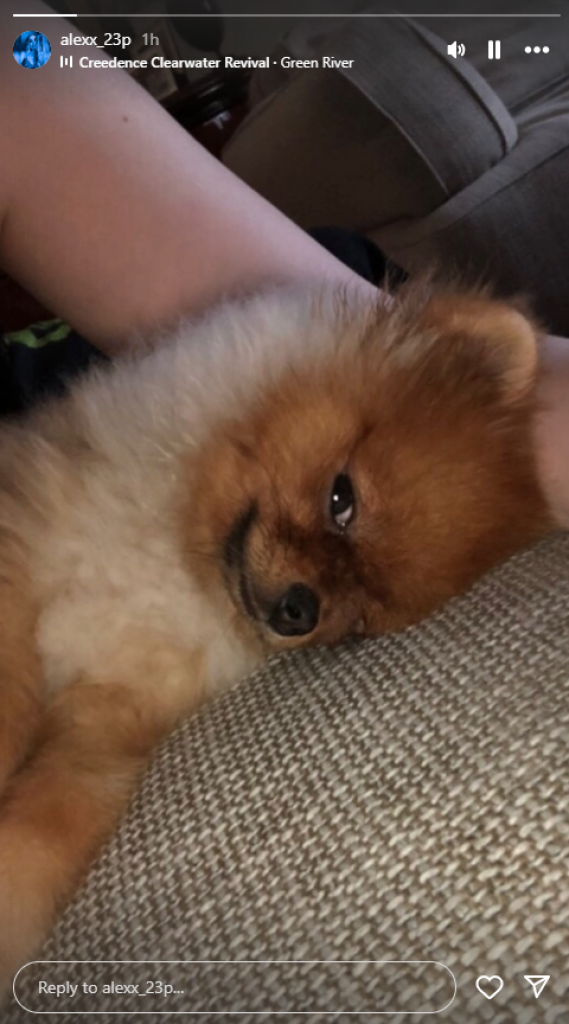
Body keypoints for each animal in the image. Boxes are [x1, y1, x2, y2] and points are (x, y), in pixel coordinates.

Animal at [0, 279, 554, 992]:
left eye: (361, 621)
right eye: (341, 498)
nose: (300, 609)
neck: (175, 567)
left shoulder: (106, 717)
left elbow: (44, 830)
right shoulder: (19, 555)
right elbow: (12, 709)